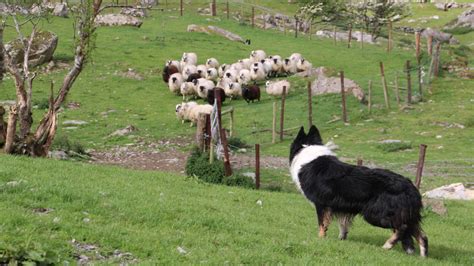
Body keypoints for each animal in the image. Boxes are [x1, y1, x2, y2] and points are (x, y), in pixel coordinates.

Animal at [288, 125, 430, 256]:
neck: (307, 152)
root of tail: (412, 188)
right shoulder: (341, 207)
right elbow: (342, 225)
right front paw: (341, 239)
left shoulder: (322, 204)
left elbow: (322, 224)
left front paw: (320, 239)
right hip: (406, 216)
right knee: (422, 236)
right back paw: (422, 257)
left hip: (375, 214)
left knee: (402, 228)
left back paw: (387, 245)